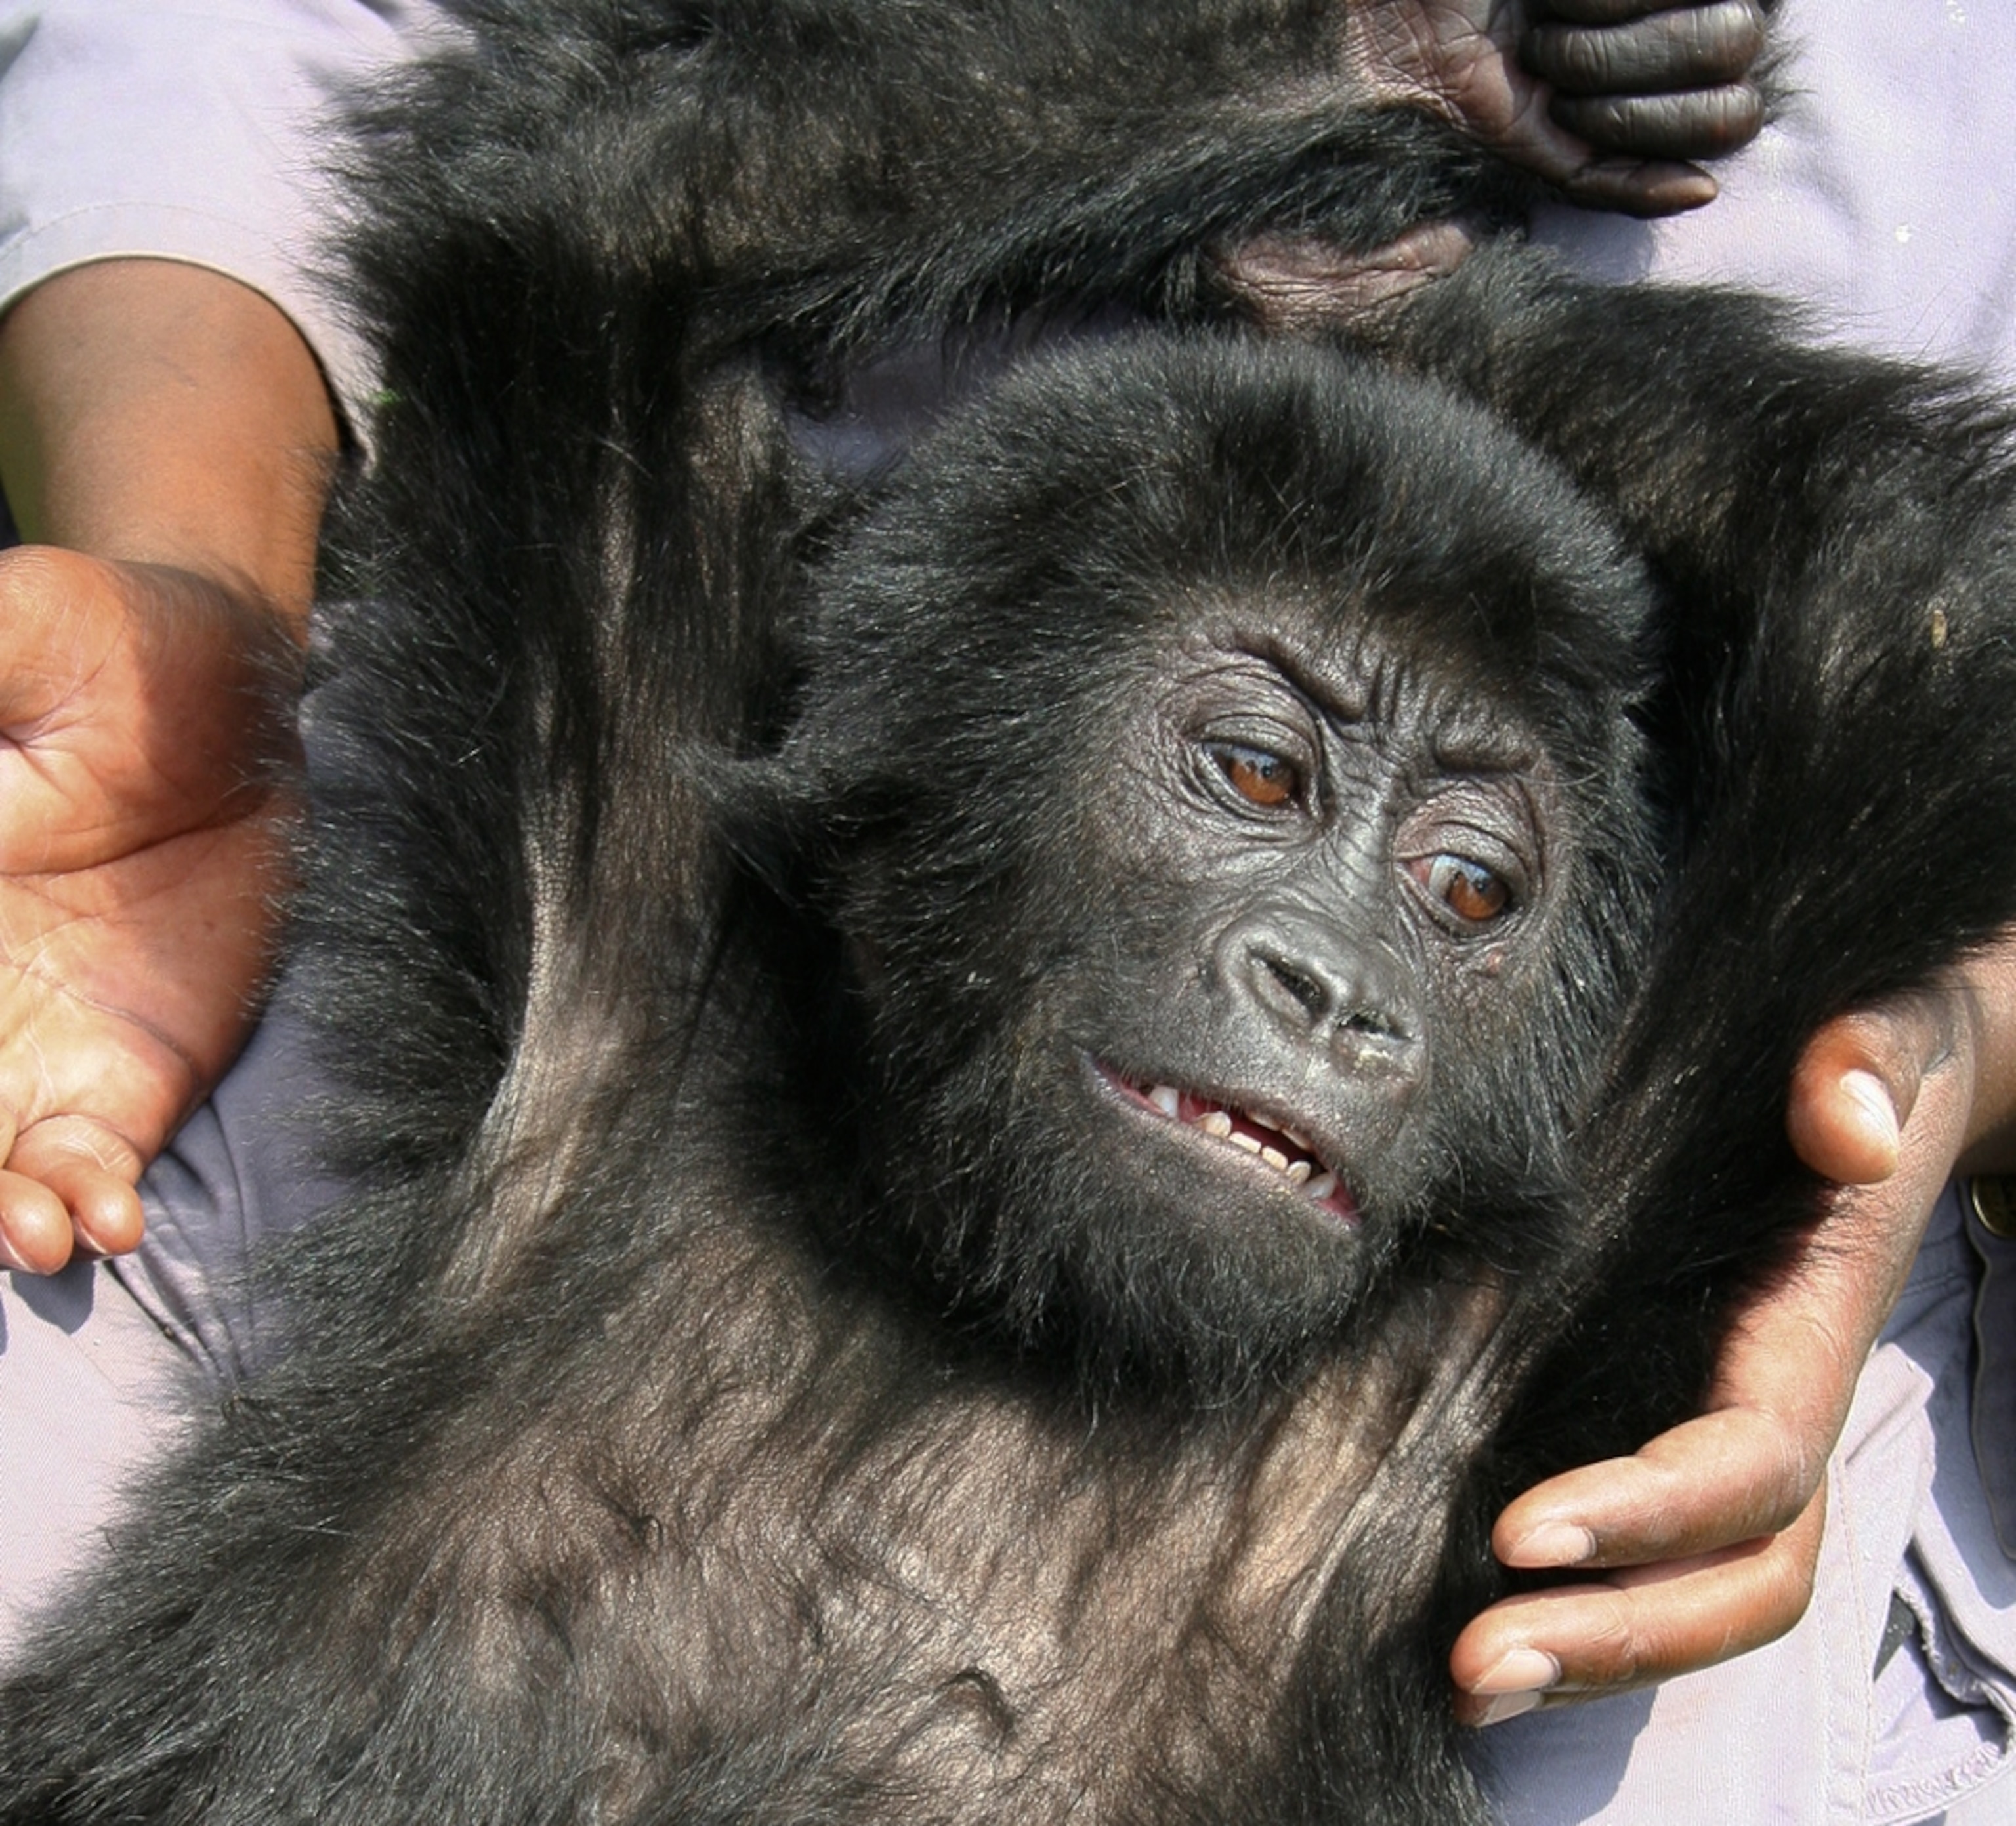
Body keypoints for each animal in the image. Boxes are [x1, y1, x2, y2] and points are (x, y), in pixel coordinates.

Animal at [6, 2, 2016, 1823]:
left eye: (1465, 889)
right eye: (1260, 774)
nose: (1339, 995)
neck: (981, 1297)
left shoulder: (1527, 1262)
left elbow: (1888, 614)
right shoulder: (621, 893)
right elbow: (624, 220)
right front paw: (1452, 75)